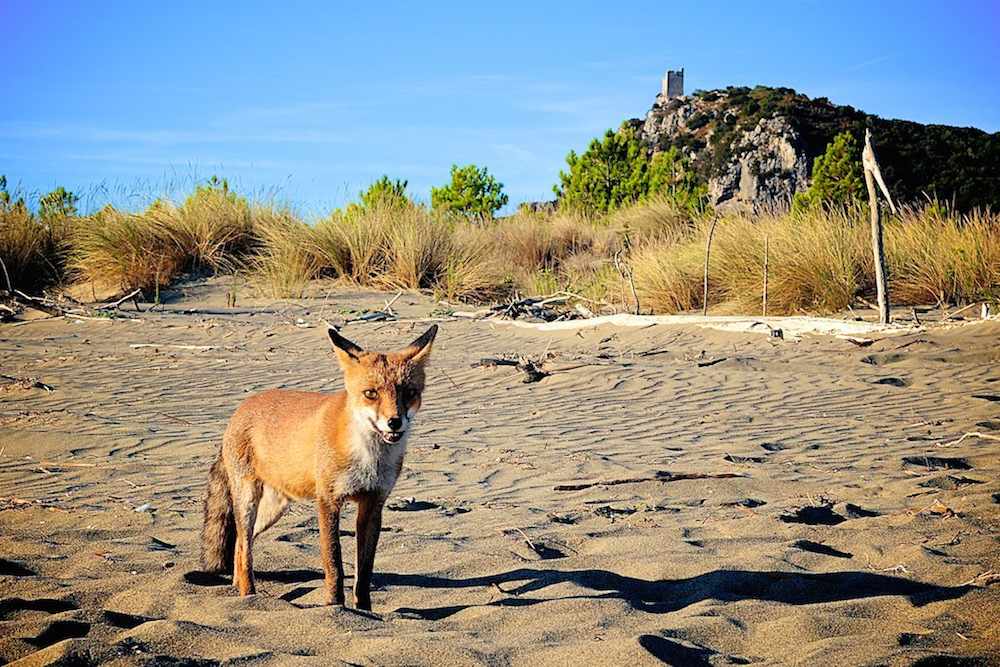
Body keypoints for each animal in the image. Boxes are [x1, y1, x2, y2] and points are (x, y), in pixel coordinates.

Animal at [200, 324, 438, 612]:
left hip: (272, 509)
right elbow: (334, 563)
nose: (394, 422)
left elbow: (364, 571)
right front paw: (335, 608)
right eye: (371, 393)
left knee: (238, 544)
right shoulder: (328, 501)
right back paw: (249, 597)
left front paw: (364, 611)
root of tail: (241, 408)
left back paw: (240, 590)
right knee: (244, 546)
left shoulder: (373, 504)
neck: (369, 458)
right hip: (248, 501)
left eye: (409, 393)